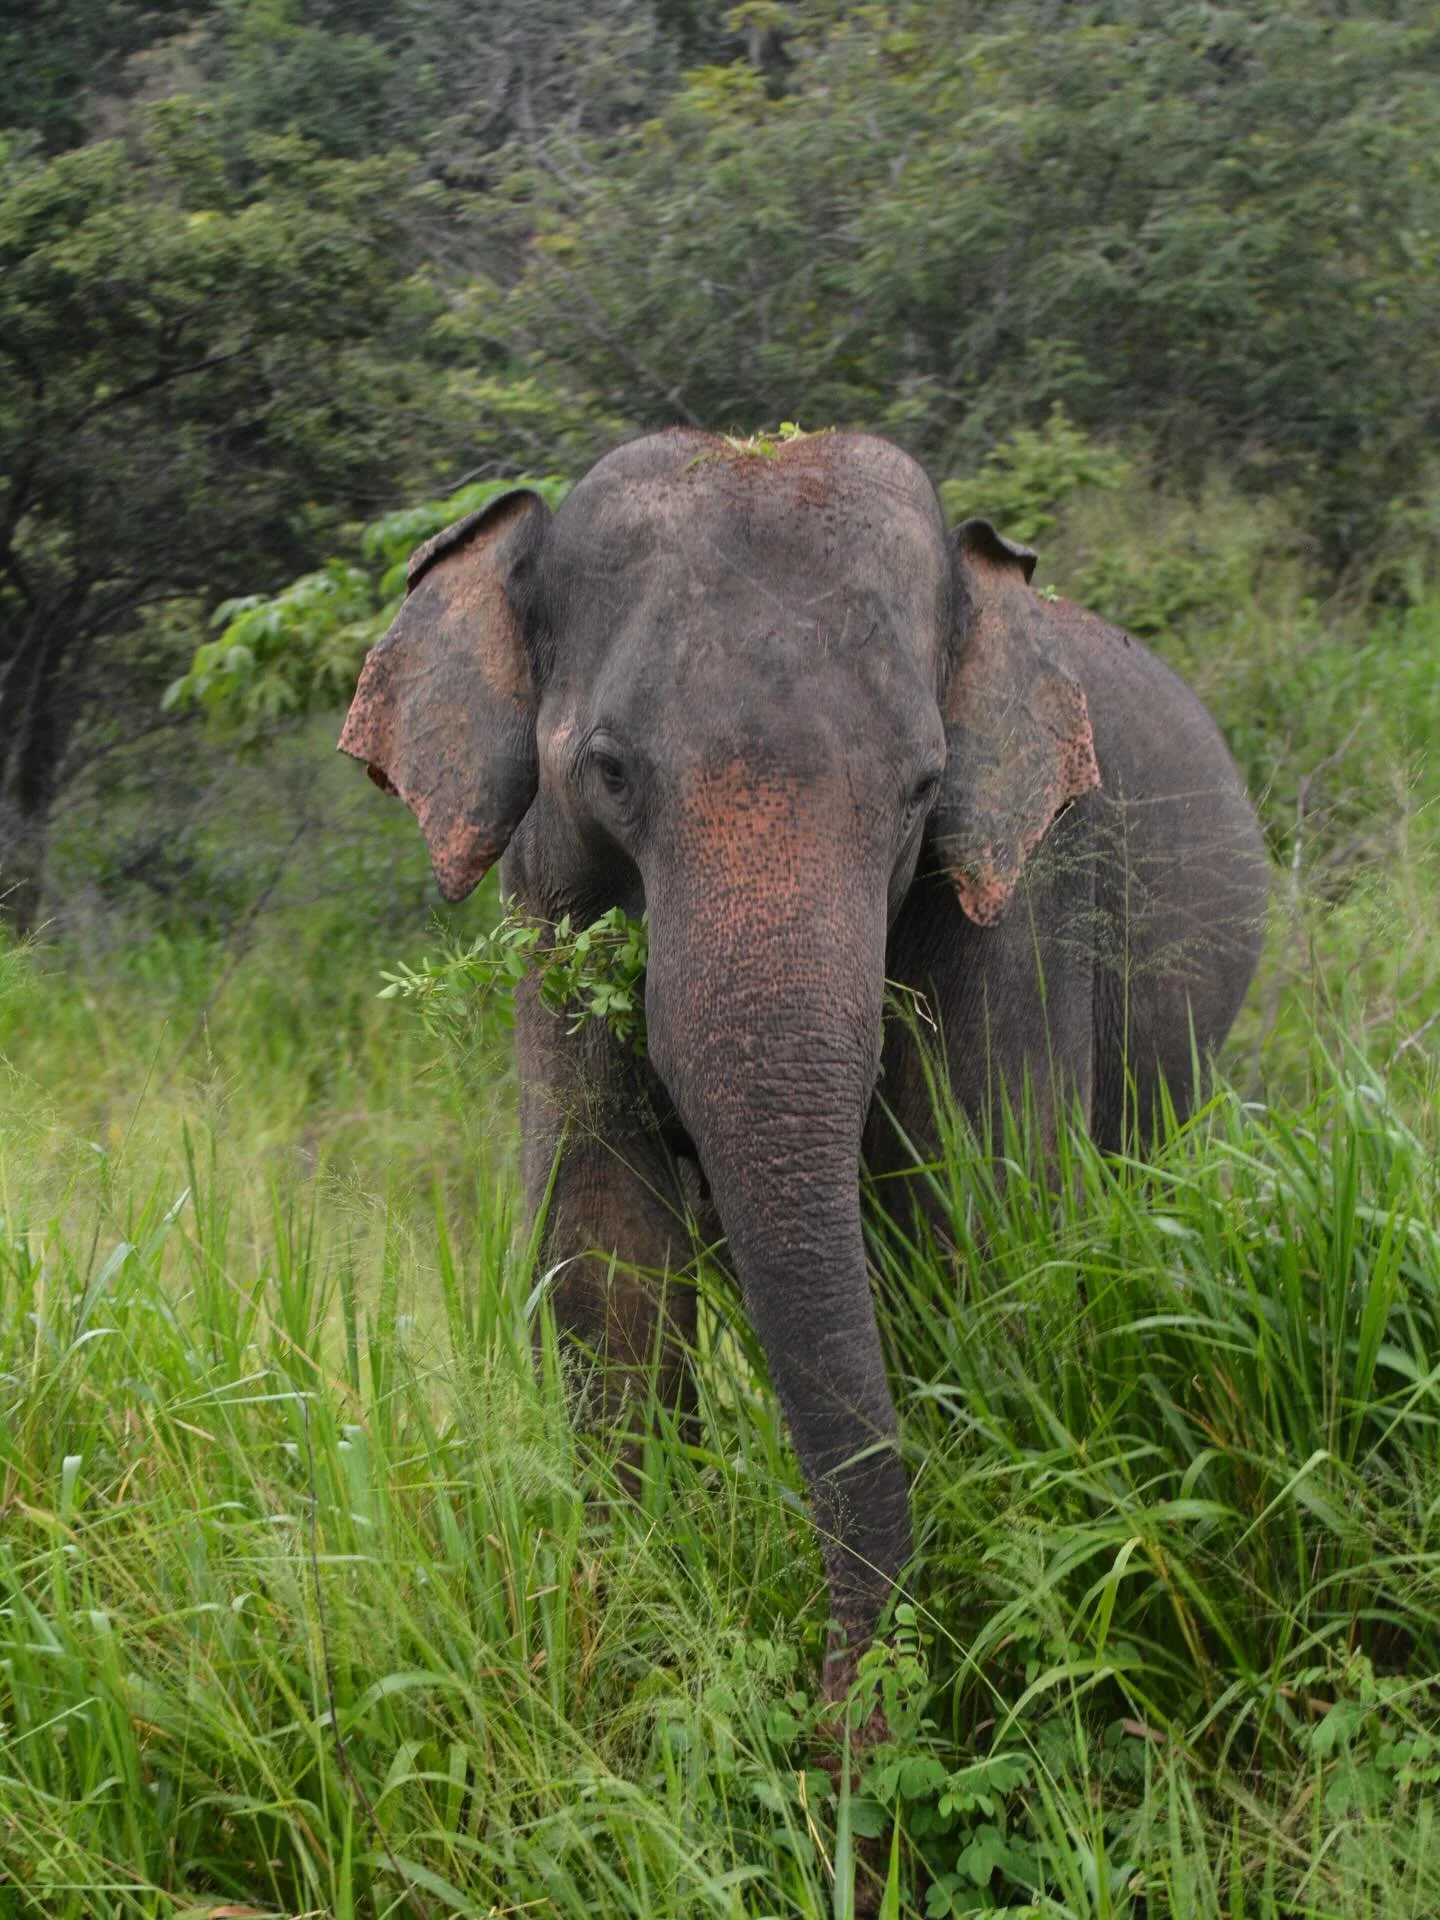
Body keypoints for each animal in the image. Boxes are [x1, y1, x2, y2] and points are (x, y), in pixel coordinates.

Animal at [339, 428, 1269, 1693]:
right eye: (611, 771)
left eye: (923, 786)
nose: (839, 1712)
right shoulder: (547, 898)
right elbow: (601, 1242)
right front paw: (636, 1638)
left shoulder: (1020, 887)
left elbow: (978, 1217)